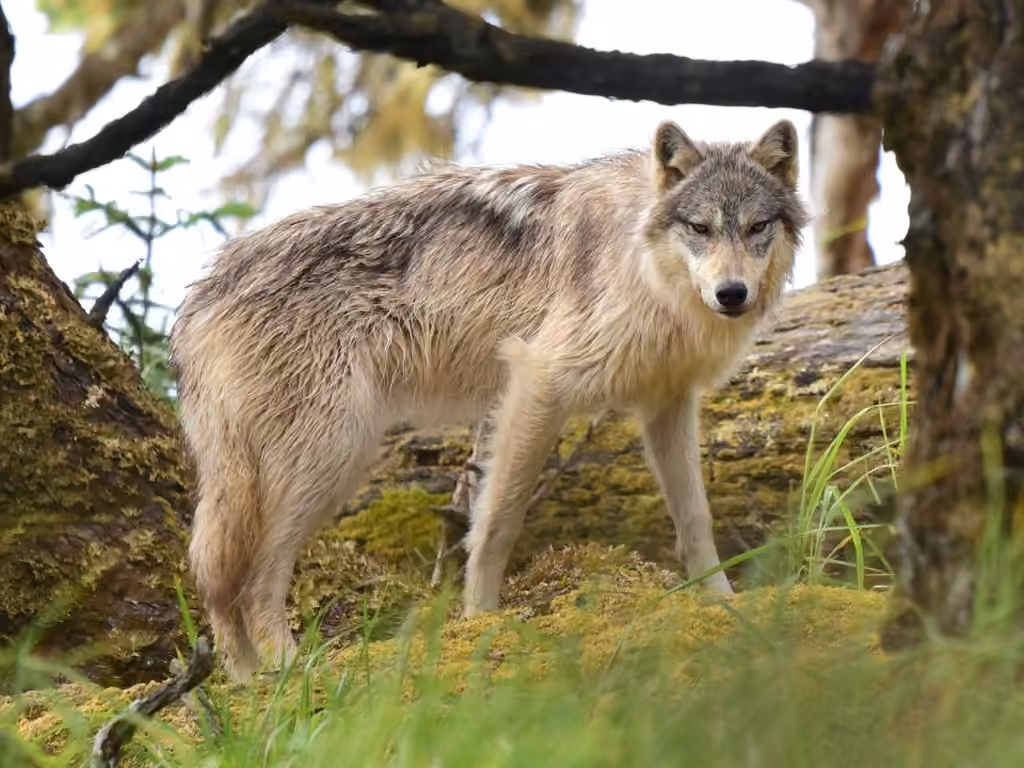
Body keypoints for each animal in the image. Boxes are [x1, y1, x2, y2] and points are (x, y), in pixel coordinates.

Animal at [170, 118, 810, 682]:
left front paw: (723, 603)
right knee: (251, 579)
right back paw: (287, 669)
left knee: (218, 578)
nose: (732, 294)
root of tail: (199, 296)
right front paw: (480, 619)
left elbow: (696, 519)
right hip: (328, 458)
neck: (643, 269)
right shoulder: (537, 381)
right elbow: (498, 520)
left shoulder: (668, 403)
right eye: (699, 228)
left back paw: (243, 679)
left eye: (756, 227)